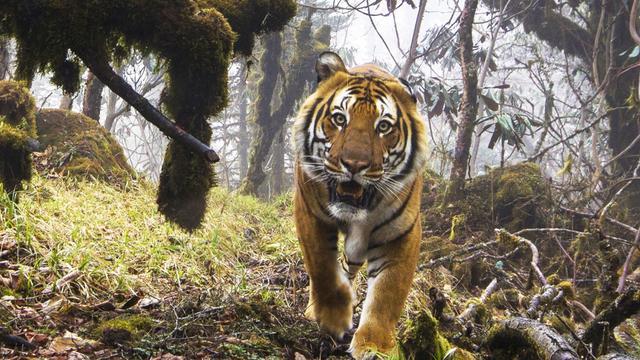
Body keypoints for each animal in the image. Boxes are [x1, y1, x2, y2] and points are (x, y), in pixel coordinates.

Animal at [292, 51, 428, 360]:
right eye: (339, 119)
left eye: (384, 127)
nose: (354, 165)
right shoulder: (309, 213)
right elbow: (322, 268)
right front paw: (333, 317)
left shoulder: (401, 233)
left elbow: (388, 293)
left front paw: (375, 345)